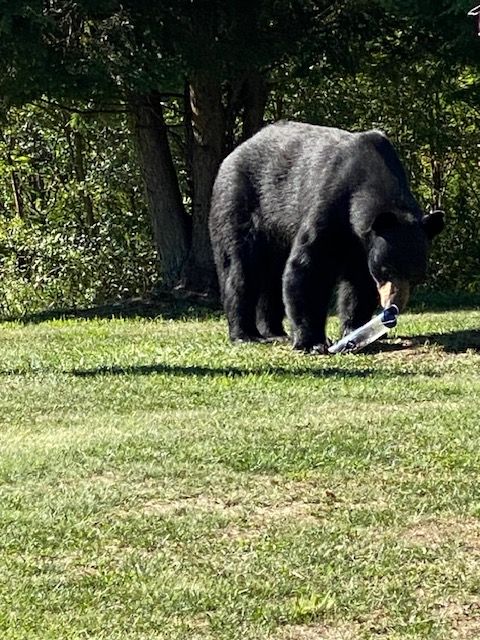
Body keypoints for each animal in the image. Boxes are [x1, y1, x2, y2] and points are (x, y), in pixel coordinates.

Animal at [208, 121, 444, 353]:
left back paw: (275, 332)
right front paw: (312, 341)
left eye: (416, 278)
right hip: (239, 203)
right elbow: (309, 266)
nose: (391, 308)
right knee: (239, 269)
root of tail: (234, 153)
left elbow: (359, 282)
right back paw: (246, 335)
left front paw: (353, 329)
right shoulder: (329, 204)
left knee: (272, 278)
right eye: (387, 270)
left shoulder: (361, 245)